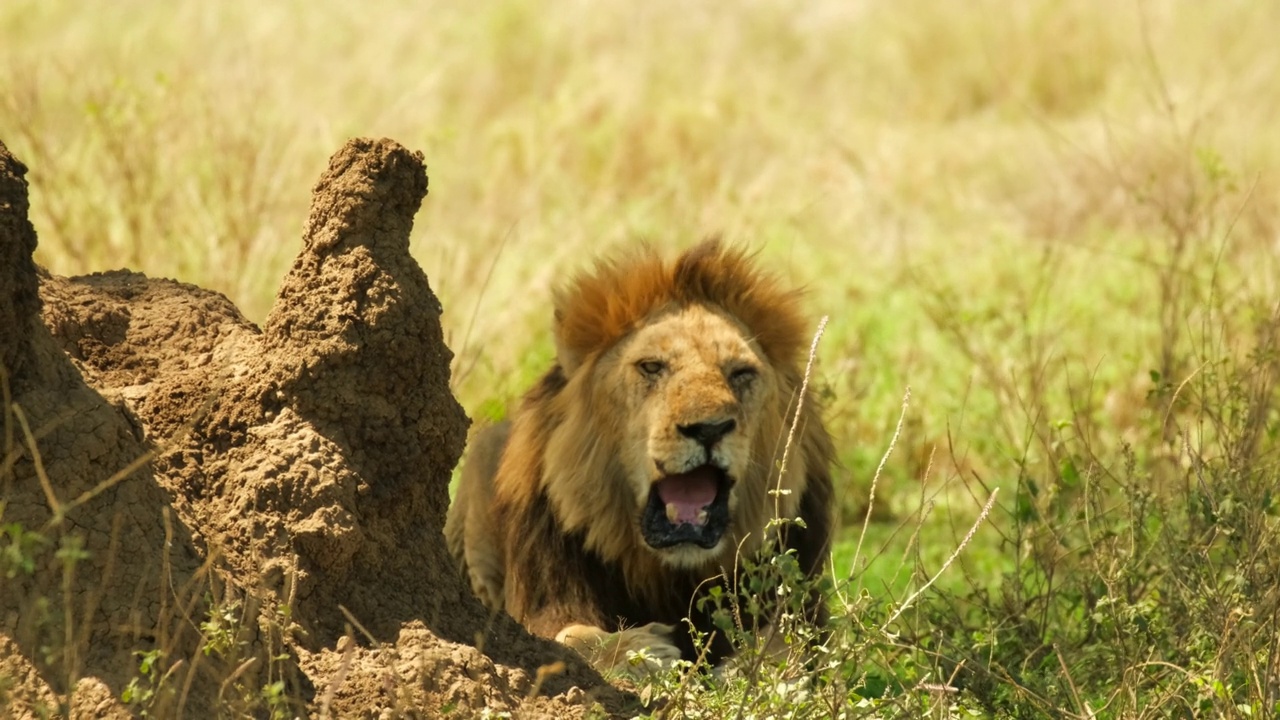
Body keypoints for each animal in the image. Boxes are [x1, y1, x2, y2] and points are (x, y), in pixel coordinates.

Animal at [445, 240, 834, 671]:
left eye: (740, 374)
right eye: (651, 367)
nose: (709, 428)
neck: (669, 575)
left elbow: (787, 644)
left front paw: (744, 668)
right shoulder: (544, 602)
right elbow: (572, 637)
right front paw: (640, 652)